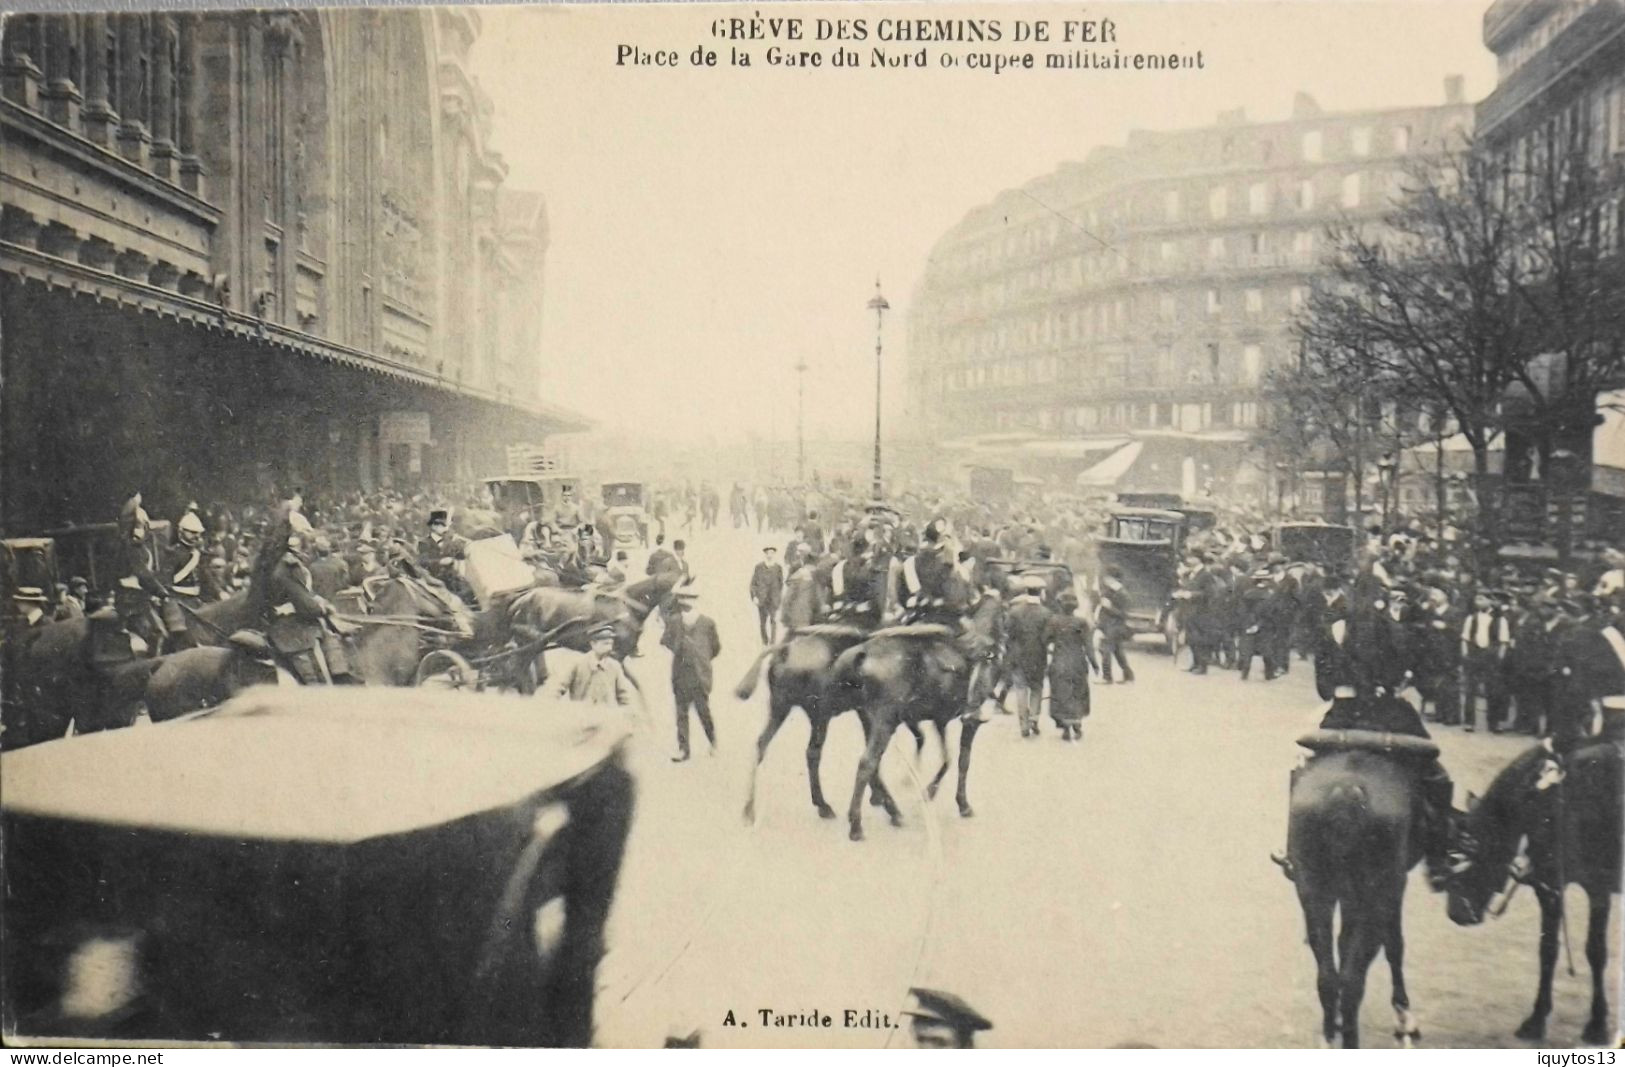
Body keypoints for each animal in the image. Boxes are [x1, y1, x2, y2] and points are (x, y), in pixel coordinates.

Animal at [1287, 750, 1430, 1045]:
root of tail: (1346, 789)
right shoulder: (1394, 887)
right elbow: (1395, 945)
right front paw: (1404, 1017)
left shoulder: (1347, 895)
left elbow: (1343, 944)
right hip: (1378, 895)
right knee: (1355, 979)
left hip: (1315, 890)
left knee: (1328, 975)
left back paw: (1331, 1034)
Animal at [1443, 740, 1618, 1039]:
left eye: (1477, 850)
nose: (1457, 914)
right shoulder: (1549, 889)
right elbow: (1547, 950)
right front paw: (1536, 1019)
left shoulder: (1599, 888)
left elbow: (1595, 951)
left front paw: (1597, 1023)